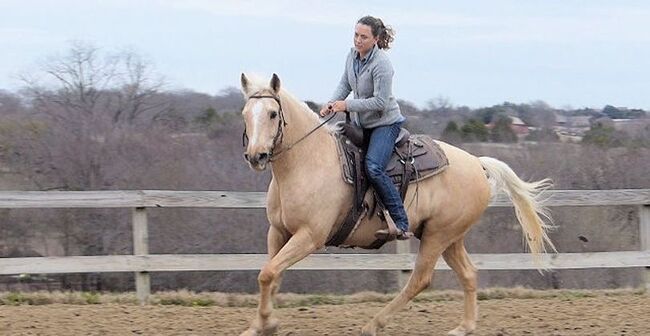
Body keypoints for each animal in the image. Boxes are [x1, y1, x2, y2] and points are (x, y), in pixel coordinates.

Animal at [238, 74, 552, 336]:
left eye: (272, 113)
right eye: (245, 114)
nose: (256, 156)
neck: (308, 162)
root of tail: (477, 163)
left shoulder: (310, 237)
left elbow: (268, 273)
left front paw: (265, 324)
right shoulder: (278, 232)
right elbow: (271, 275)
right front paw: (261, 325)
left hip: (438, 236)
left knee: (420, 280)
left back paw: (373, 325)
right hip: (450, 238)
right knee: (468, 274)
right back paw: (463, 327)